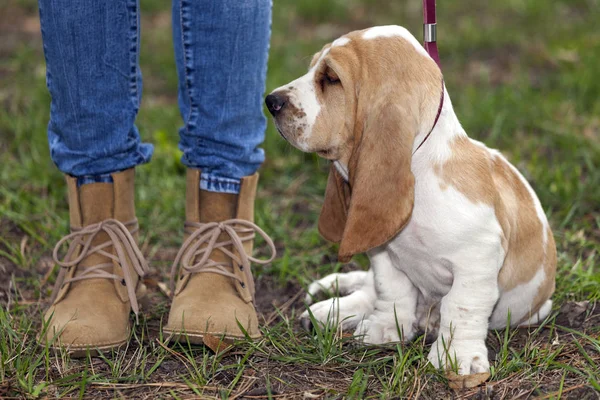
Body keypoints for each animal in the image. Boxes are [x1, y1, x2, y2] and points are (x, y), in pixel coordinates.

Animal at [264, 25, 556, 376]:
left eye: (331, 78)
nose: (270, 101)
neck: (420, 168)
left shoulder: (478, 258)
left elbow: (461, 305)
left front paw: (456, 356)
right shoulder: (383, 251)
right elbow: (391, 290)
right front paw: (386, 328)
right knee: (367, 290)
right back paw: (330, 311)